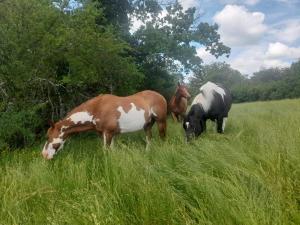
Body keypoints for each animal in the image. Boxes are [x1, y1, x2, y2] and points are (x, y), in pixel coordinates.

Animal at [41, 90, 169, 160]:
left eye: (48, 137)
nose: (44, 155)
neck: (97, 109)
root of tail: (160, 95)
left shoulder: (108, 133)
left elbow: (106, 152)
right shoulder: (106, 134)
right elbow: (111, 150)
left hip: (161, 121)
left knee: (163, 138)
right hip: (147, 125)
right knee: (149, 139)